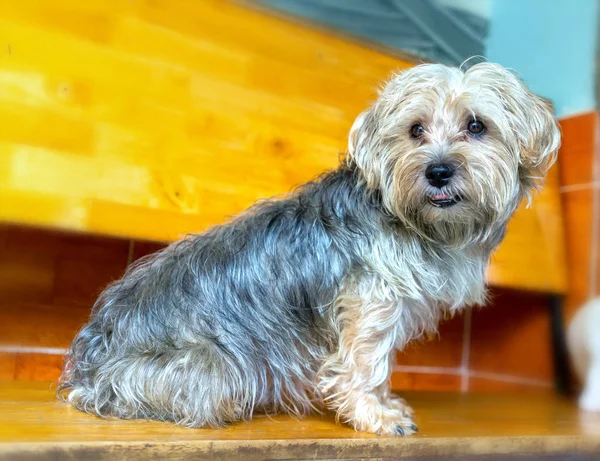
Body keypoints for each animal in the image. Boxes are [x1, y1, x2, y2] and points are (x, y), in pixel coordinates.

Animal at [58, 62, 560, 434]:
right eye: (415, 130)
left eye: (477, 126)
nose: (437, 171)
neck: (415, 222)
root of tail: (87, 361)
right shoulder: (371, 302)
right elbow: (365, 361)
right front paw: (375, 414)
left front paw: (383, 404)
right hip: (215, 366)